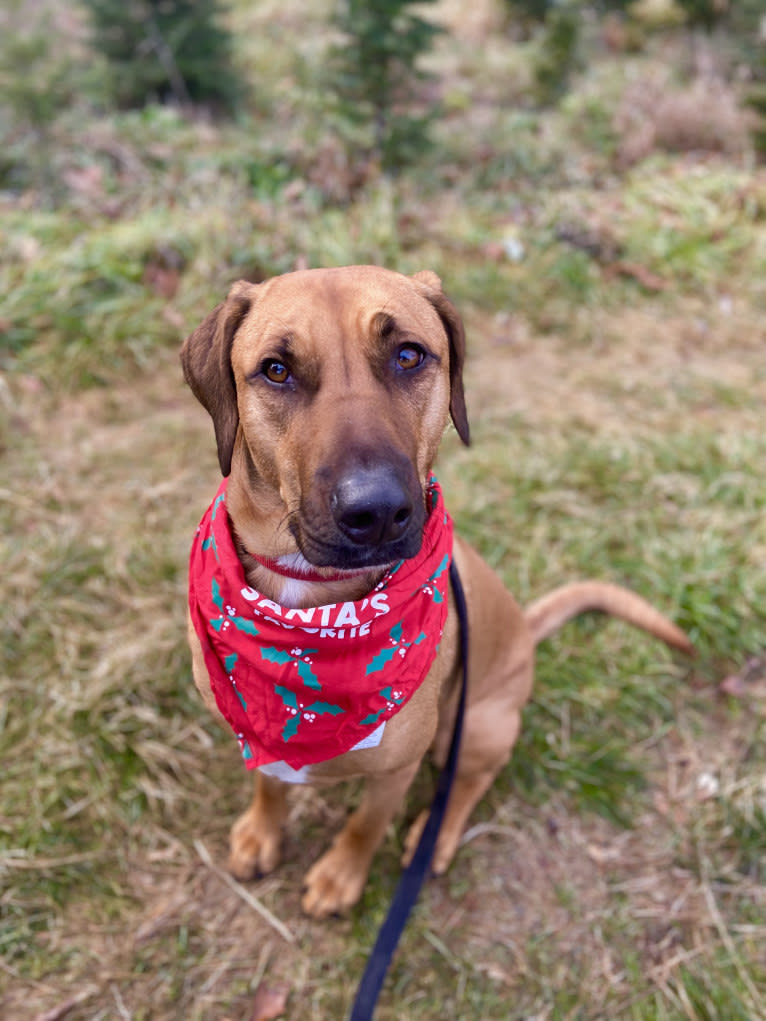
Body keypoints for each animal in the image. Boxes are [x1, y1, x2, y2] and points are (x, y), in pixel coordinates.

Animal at [181, 263, 694, 918]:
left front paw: (340, 877)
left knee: (467, 784)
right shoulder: (255, 728)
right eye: (276, 369)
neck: (309, 603)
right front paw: (261, 833)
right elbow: (268, 782)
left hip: (472, 724)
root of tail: (524, 628)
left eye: (408, 355)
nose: (375, 511)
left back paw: (435, 834)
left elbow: (366, 826)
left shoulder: (396, 769)